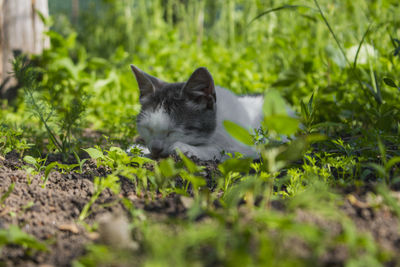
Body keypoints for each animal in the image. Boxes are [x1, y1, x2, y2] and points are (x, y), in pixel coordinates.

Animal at [130, 65, 264, 161]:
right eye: (147, 128)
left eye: (173, 131)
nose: (155, 149)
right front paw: (139, 150)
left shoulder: (249, 147)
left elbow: (222, 150)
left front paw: (187, 148)